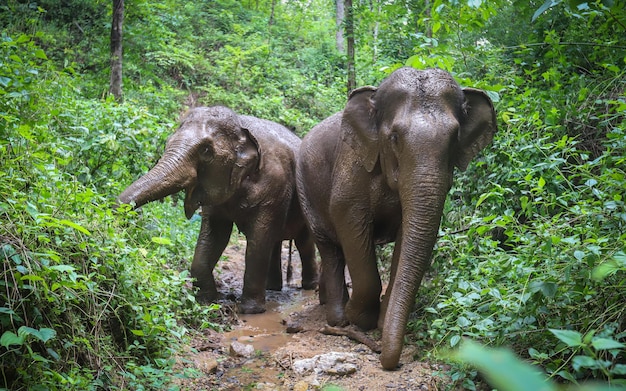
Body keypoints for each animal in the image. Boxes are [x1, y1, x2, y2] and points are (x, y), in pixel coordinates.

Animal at [118, 105, 316, 314]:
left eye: (206, 150)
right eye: (168, 142)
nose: (131, 215)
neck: (241, 125)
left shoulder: (274, 186)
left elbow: (258, 239)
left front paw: (251, 310)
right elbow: (215, 235)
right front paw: (208, 301)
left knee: (302, 241)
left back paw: (309, 286)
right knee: (276, 242)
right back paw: (273, 288)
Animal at [294, 67, 494, 370]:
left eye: (454, 138)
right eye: (395, 138)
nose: (386, 359)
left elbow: (408, 235)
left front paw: (380, 319)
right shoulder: (352, 164)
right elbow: (348, 217)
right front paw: (359, 319)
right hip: (305, 190)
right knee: (330, 248)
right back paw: (337, 318)